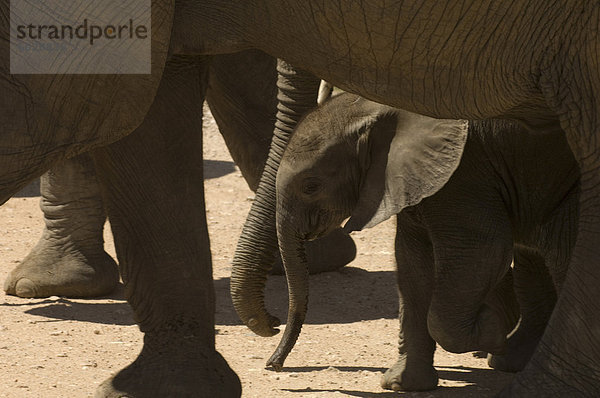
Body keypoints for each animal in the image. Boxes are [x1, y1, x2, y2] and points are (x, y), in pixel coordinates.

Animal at [260, 92, 576, 392]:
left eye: (311, 186)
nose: (273, 364)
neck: (377, 108)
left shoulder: (465, 175)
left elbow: (485, 250)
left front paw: (494, 329)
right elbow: (412, 264)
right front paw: (401, 385)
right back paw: (512, 359)